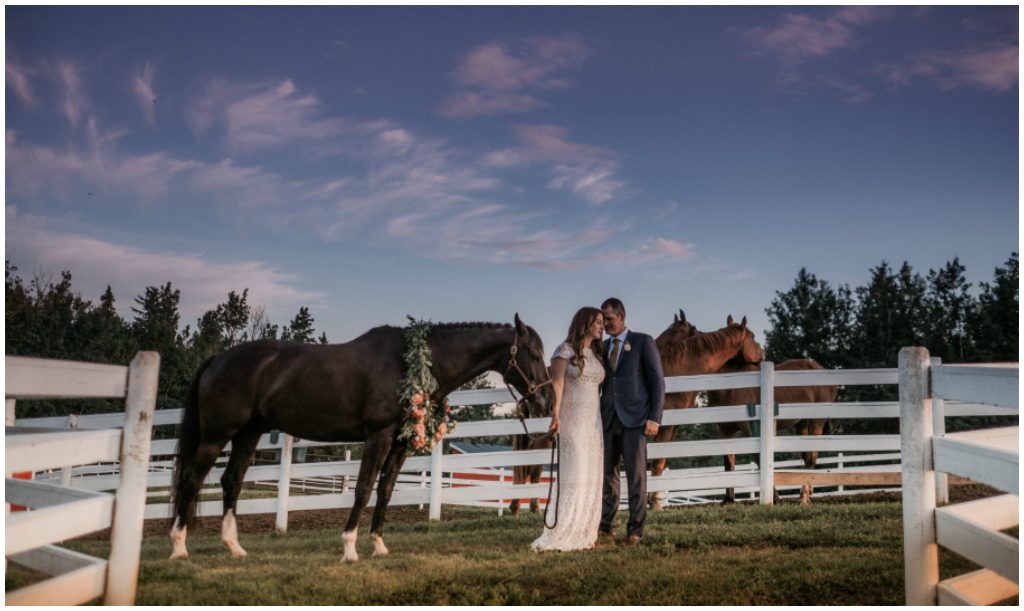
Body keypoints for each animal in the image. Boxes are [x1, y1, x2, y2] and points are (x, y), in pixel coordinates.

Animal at [708, 354, 835, 503]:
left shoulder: (750, 427)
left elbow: (758, 457)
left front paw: (774, 496)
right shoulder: (724, 430)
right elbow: (728, 462)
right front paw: (728, 499)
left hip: (816, 421)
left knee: (812, 455)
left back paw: (804, 495)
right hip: (802, 423)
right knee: (807, 455)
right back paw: (807, 493)